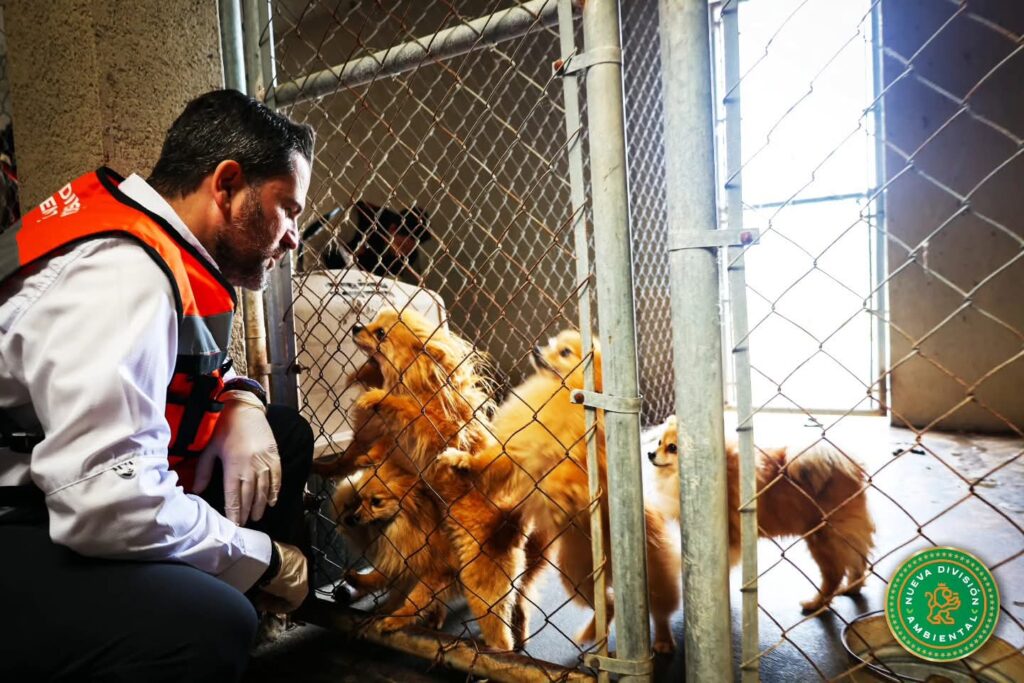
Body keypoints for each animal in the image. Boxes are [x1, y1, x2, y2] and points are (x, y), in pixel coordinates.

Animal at [438, 330, 681, 653]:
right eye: (550, 343)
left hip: (650, 575)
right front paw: (462, 460)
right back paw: (591, 632)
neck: (557, 396)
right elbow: (490, 461)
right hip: (577, 576)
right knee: (610, 605)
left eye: (564, 352)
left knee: (660, 611)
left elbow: (563, 475)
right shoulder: (516, 454)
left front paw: (555, 491)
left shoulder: (580, 462)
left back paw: (663, 640)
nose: (536, 349)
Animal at [648, 415, 875, 612]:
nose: (650, 453)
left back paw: (815, 603)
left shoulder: (728, 539)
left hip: (822, 538)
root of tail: (848, 467)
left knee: (834, 575)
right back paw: (852, 588)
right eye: (659, 442)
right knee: (859, 562)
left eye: (672, 448)